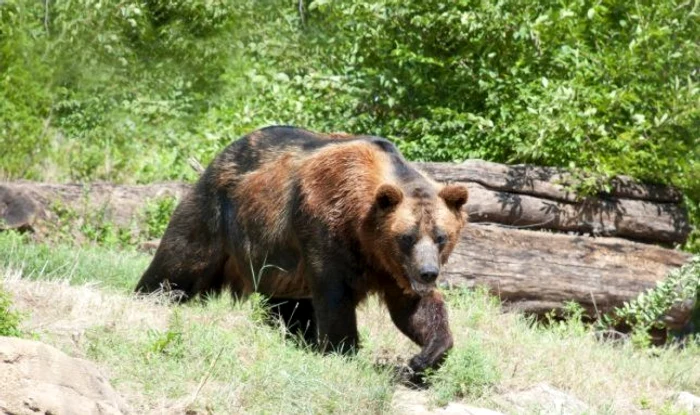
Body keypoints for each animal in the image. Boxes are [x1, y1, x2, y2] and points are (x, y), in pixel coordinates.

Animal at [134, 125, 468, 378]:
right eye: (407, 237)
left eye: (440, 236)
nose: (428, 272)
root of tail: (220, 156)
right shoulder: (325, 227)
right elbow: (335, 295)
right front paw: (342, 349)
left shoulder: (391, 268)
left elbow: (413, 309)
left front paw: (423, 358)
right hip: (215, 215)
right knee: (179, 263)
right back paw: (150, 295)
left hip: (278, 262)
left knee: (288, 304)